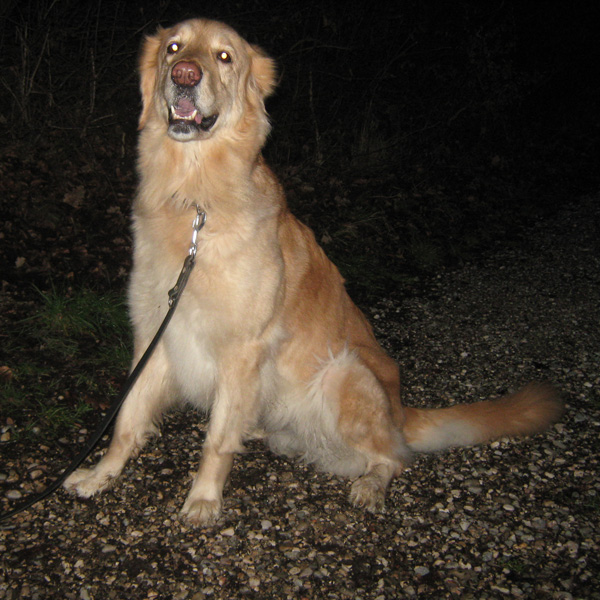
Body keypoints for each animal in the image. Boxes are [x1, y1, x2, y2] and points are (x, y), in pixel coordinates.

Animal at [64, 18, 564, 524]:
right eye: (173, 47)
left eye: (224, 57)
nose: (185, 73)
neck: (193, 200)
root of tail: (402, 412)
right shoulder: (154, 330)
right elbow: (127, 417)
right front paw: (101, 474)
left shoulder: (243, 348)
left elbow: (217, 439)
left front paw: (204, 497)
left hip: (344, 372)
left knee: (393, 457)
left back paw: (371, 485)